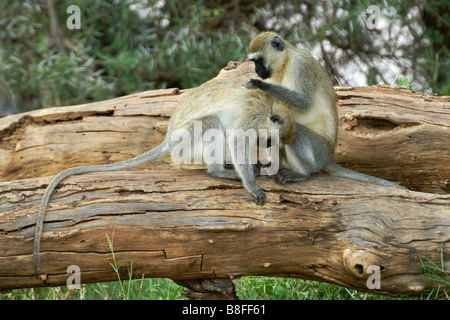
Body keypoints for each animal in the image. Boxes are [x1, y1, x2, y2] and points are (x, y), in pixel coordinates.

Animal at [34, 77, 296, 278]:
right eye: (270, 140)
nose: (266, 145)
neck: (268, 108)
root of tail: (169, 140)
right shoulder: (250, 119)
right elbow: (236, 140)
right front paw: (250, 183)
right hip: (187, 142)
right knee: (211, 124)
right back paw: (220, 171)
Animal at [246, 31, 404, 188]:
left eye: (258, 60)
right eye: (254, 62)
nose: (256, 70)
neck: (285, 63)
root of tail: (328, 158)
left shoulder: (301, 66)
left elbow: (304, 102)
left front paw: (260, 85)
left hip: (318, 152)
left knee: (293, 130)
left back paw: (302, 174)